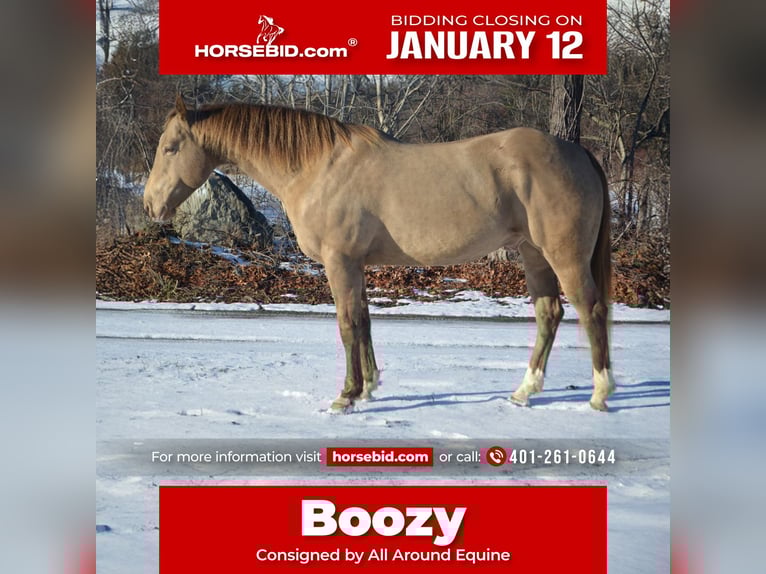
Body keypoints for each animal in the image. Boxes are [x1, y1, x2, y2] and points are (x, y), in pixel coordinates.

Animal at [144, 96, 616, 412]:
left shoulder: (340, 263)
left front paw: (346, 396)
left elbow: (347, 325)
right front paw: (369, 387)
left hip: (565, 256)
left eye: (170, 148)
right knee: (549, 313)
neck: (318, 169)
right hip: (533, 255)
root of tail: (577, 152)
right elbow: (365, 322)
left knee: (590, 310)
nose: (150, 204)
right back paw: (523, 392)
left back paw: (599, 394)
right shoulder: (356, 266)